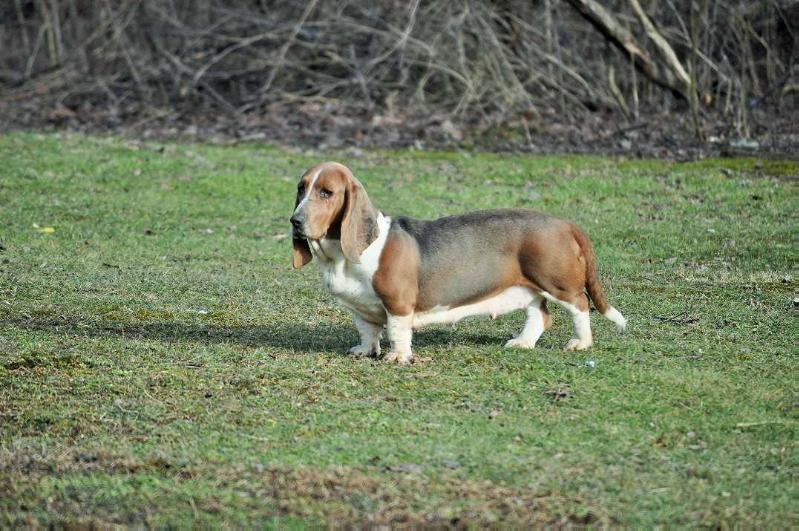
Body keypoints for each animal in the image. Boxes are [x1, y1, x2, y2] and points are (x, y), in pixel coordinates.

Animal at [290, 160, 628, 364]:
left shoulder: (398, 304)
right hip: (529, 288)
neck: (340, 256)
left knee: (580, 305)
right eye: (301, 188)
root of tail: (563, 223)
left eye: (326, 192)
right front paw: (364, 351)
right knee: (540, 316)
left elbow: (397, 332)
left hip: (556, 283)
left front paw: (398, 357)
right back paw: (522, 342)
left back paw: (580, 343)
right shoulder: (360, 309)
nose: (295, 221)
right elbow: (367, 330)